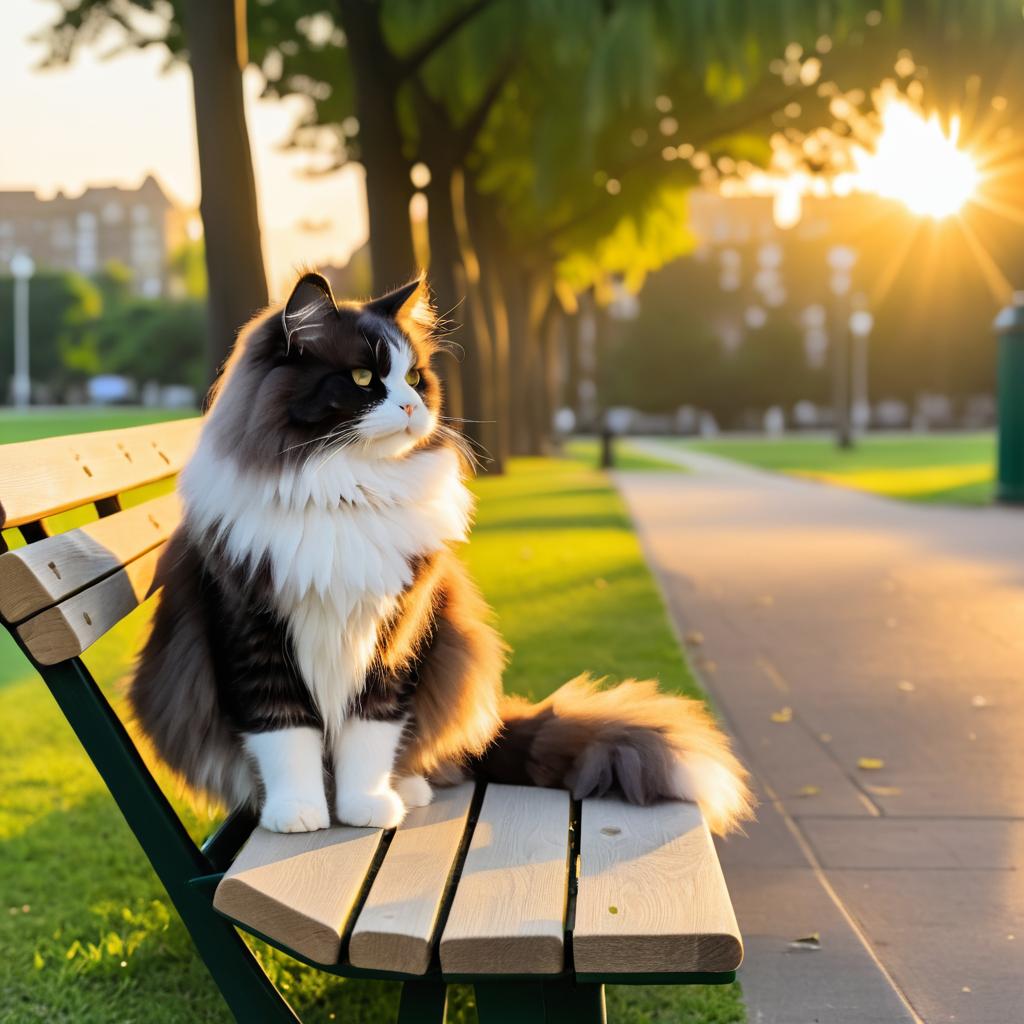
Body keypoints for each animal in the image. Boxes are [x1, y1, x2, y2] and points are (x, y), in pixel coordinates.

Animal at [130, 274, 753, 839]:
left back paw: (405, 789)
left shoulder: (397, 635)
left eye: (414, 378)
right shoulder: (252, 633)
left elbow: (370, 732)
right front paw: (297, 812)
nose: (410, 406)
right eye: (363, 378)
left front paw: (364, 806)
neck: (346, 495)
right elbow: (285, 735)